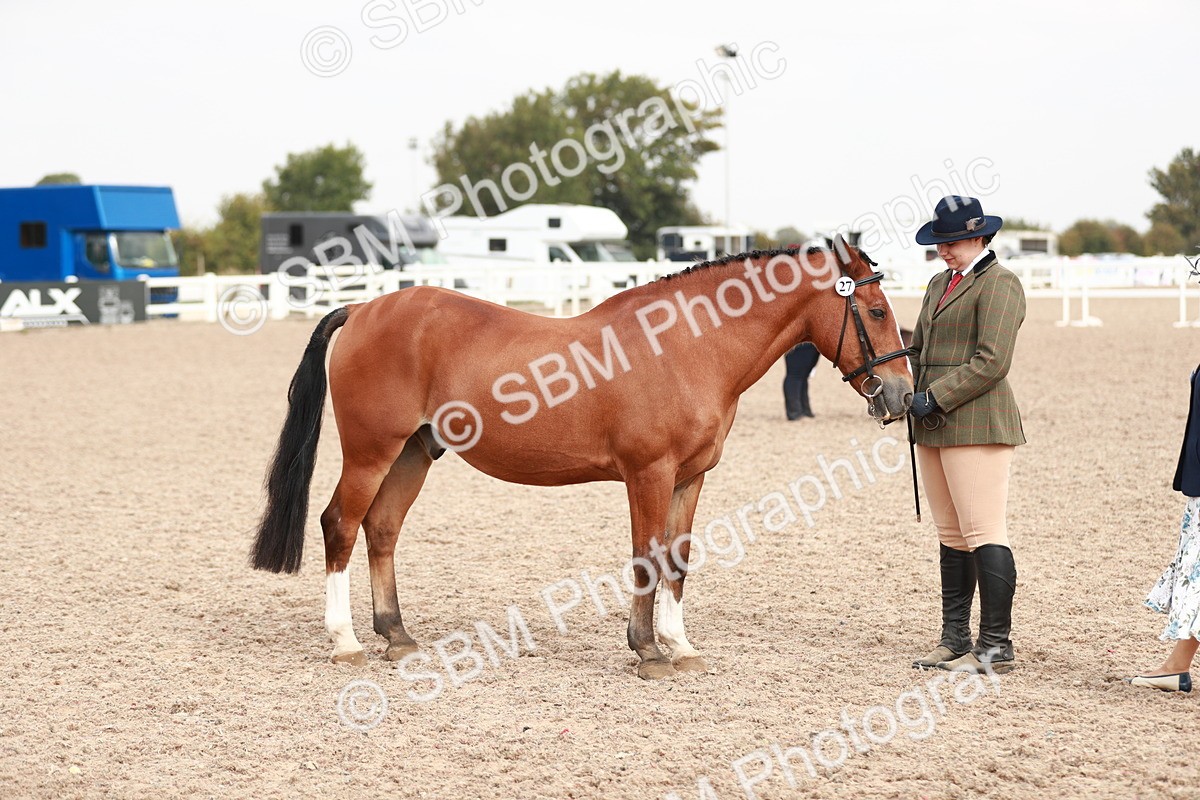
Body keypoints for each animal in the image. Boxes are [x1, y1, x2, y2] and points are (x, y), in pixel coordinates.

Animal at [250, 234, 914, 680]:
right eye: (877, 311)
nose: (902, 395)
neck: (685, 346)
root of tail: (363, 309)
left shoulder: (690, 479)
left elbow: (678, 559)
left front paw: (680, 646)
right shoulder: (648, 474)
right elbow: (646, 557)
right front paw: (647, 651)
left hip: (414, 453)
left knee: (382, 529)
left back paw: (398, 635)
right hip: (371, 451)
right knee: (340, 524)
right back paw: (345, 642)